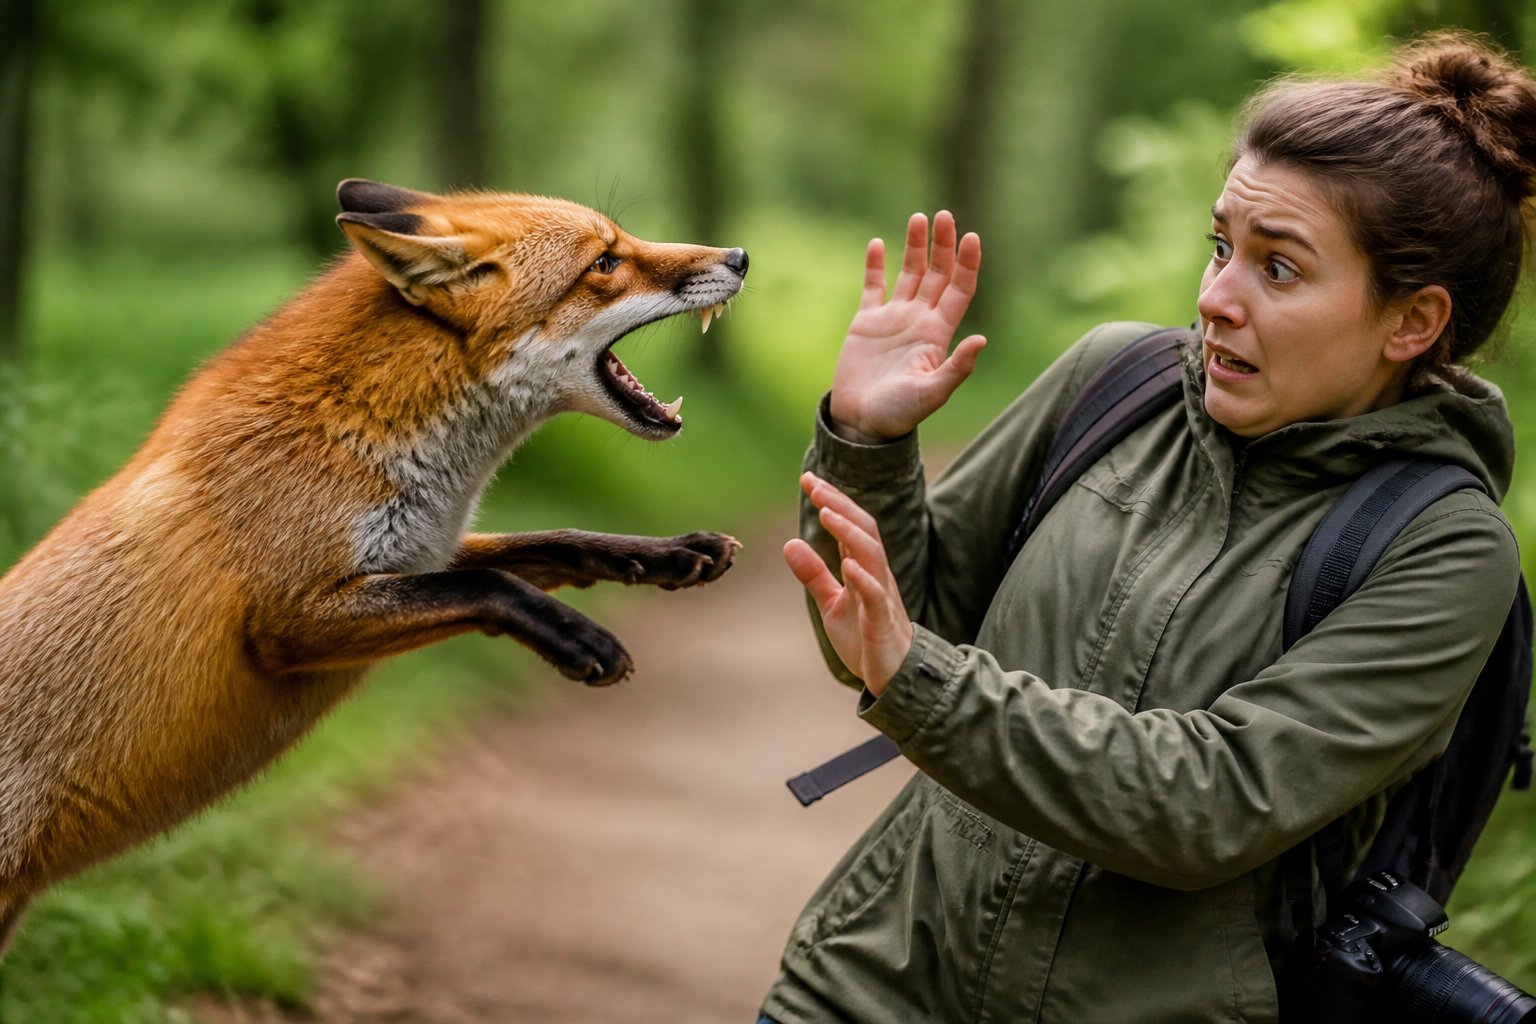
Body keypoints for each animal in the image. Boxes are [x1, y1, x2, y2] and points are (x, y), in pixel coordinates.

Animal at [0, 179, 748, 952]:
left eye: (619, 245)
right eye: (605, 262)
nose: (740, 256)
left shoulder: (421, 551)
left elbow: (552, 543)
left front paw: (669, 556)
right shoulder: (288, 623)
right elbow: (491, 582)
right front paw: (580, 638)